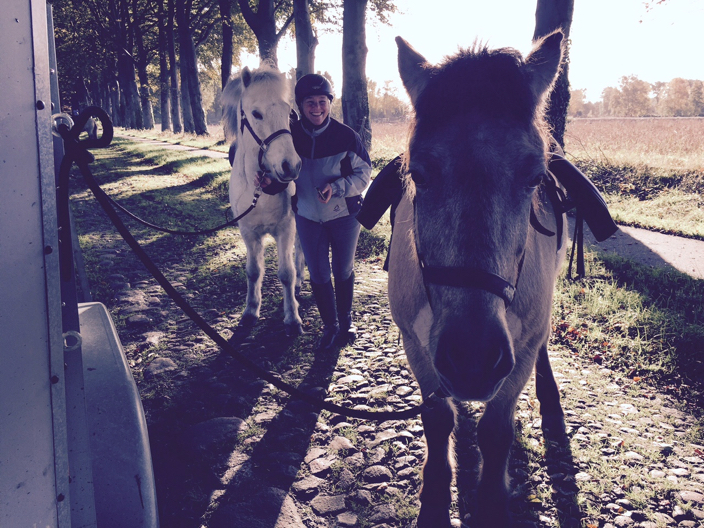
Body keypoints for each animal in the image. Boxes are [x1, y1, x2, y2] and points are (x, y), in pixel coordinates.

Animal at [224, 64, 304, 336]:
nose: (291, 165)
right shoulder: (248, 232)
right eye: (256, 114)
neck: (260, 191)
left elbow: (286, 273)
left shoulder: (286, 229)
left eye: (289, 113)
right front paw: (250, 312)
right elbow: (253, 271)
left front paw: (292, 318)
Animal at [390, 34, 568, 528]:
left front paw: (491, 500)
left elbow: (496, 430)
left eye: (534, 176)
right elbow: (437, 420)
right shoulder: (415, 342)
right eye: (419, 174)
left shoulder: (519, 351)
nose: (472, 359)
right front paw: (434, 494)